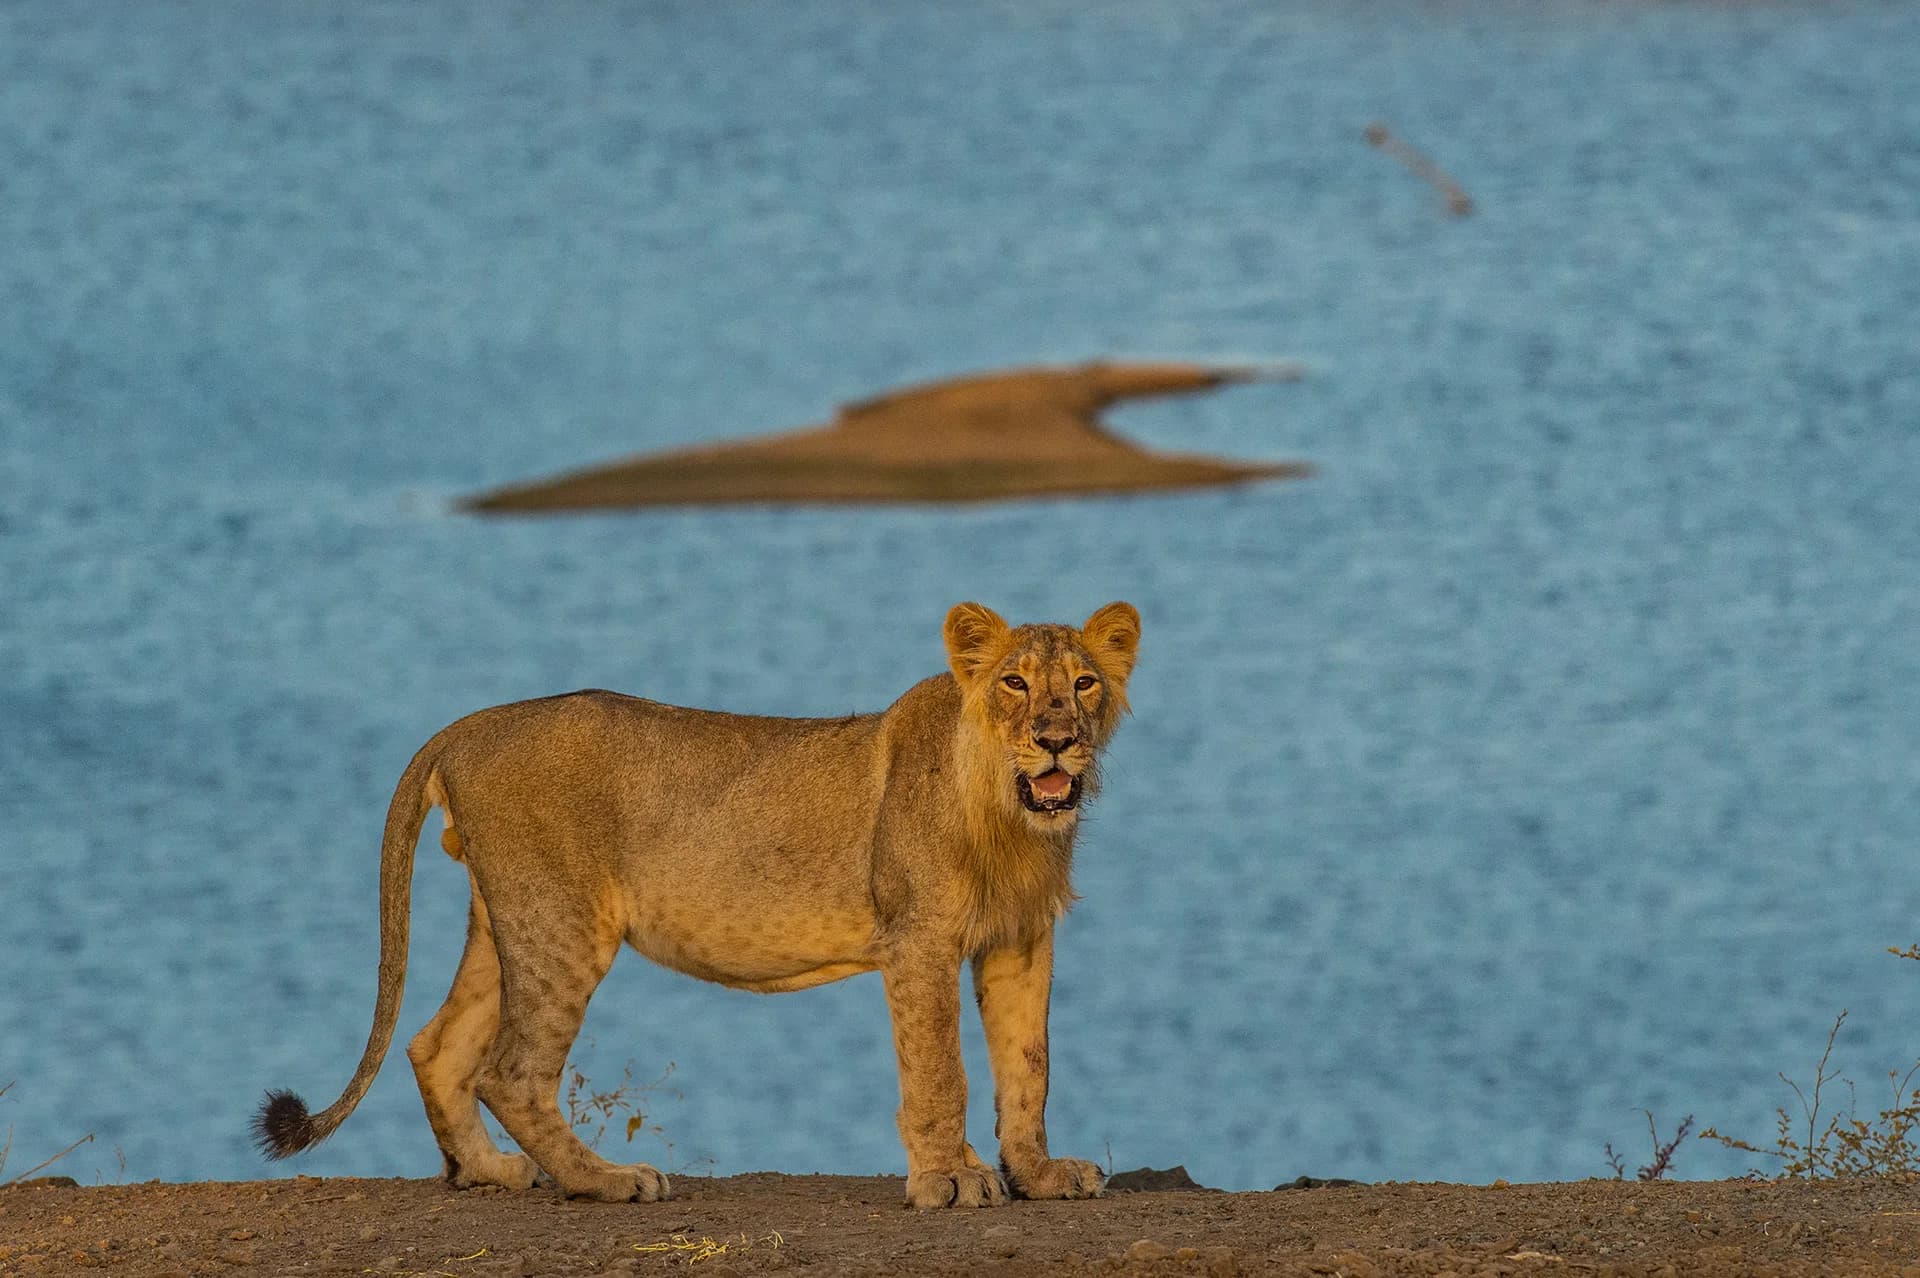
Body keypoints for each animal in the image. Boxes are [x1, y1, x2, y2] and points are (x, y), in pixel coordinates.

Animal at [254, 601, 1140, 1209]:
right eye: (1013, 683)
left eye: (1084, 683)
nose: (1057, 739)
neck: (1009, 817)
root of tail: (469, 726)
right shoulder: (916, 939)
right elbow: (940, 1070)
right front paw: (948, 1181)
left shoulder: (1022, 939)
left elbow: (1028, 1066)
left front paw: (1039, 1174)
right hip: (564, 925)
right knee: (509, 1071)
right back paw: (608, 1181)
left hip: (505, 921)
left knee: (437, 1048)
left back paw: (491, 1171)